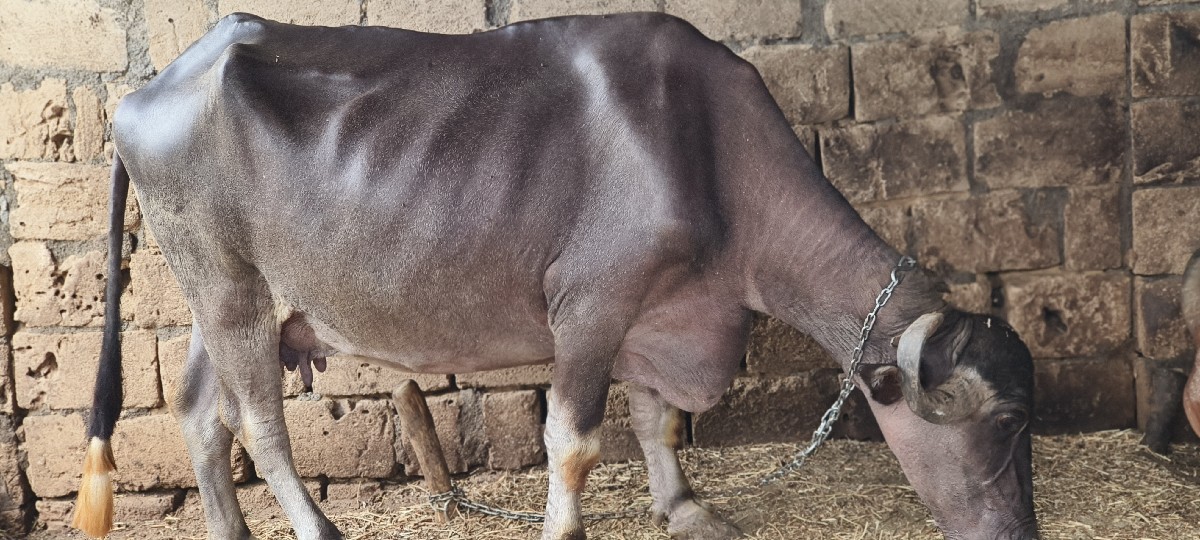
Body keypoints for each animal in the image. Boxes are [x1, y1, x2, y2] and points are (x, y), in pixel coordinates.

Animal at [72, 12, 1038, 540]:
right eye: (1002, 424)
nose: (1018, 533)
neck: (710, 152)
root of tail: (151, 88)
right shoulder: (591, 307)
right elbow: (573, 441)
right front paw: (568, 526)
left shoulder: (656, 312)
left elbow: (658, 421)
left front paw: (683, 507)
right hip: (230, 286)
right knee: (257, 419)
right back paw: (319, 526)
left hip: (217, 295)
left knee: (200, 412)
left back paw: (229, 528)